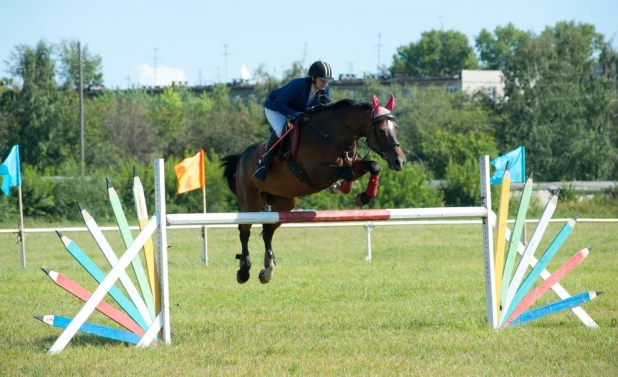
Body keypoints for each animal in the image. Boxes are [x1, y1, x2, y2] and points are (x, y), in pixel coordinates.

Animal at [220, 93, 404, 282]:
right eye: (381, 131)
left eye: (396, 128)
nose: (399, 161)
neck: (331, 135)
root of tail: (242, 157)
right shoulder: (318, 173)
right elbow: (348, 172)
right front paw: (341, 187)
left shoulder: (353, 163)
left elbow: (373, 166)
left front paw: (363, 196)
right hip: (251, 201)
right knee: (244, 230)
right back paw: (244, 270)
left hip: (285, 203)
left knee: (268, 230)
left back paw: (267, 270)